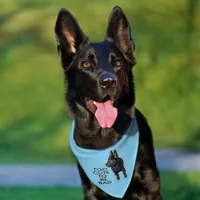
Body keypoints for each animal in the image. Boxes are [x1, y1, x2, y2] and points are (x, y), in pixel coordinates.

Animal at [54, 5, 162, 199]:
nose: (109, 82)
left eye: (118, 63)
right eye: (86, 65)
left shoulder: (150, 186)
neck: (103, 134)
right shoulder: (91, 190)